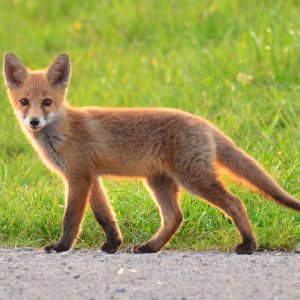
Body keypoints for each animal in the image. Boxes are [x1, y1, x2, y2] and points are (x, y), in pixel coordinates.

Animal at [2, 52, 300, 254]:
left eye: (47, 102)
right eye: (24, 101)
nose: (34, 122)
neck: (62, 131)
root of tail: (204, 122)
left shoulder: (77, 177)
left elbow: (71, 218)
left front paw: (61, 246)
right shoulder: (91, 177)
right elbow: (105, 216)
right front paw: (113, 243)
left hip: (193, 179)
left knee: (235, 202)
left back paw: (248, 244)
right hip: (158, 182)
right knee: (175, 217)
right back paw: (150, 247)